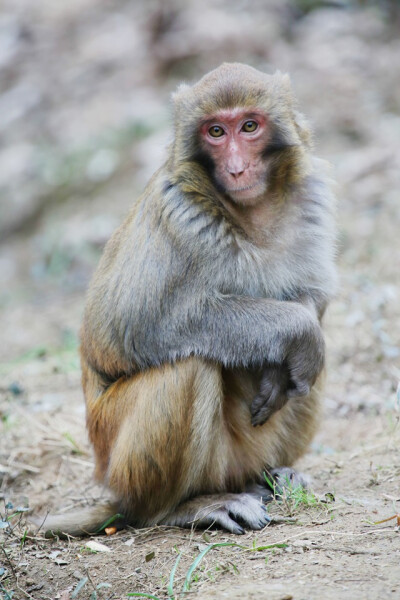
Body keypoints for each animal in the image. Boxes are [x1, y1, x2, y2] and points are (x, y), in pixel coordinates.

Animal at [41, 63, 334, 536]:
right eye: (215, 131)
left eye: (249, 126)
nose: (236, 168)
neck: (251, 211)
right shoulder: (180, 215)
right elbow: (137, 326)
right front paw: (298, 329)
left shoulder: (313, 197)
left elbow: (315, 296)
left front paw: (283, 359)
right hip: (123, 458)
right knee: (189, 365)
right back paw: (183, 507)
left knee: (311, 365)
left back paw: (275, 474)